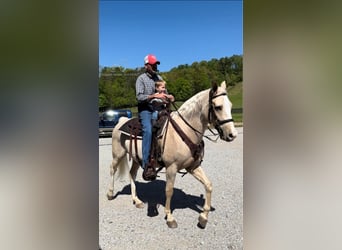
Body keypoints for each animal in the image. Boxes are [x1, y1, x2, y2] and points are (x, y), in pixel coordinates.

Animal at [107, 81, 238, 229]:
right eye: (218, 107)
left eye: (230, 106)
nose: (232, 135)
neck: (184, 131)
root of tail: (121, 120)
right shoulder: (171, 167)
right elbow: (169, 191)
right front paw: (169, 217)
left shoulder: (192, 167)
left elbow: (208, 185)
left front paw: (203, 217)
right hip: (118, 154)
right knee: (113, 169)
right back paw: (110, 193)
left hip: (136, 158)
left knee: (132, 174)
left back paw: (137, 200)